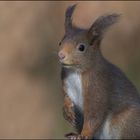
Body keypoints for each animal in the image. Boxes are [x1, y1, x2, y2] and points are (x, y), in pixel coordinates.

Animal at [57, 3, 140, 139]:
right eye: (60, 42)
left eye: (81, 47)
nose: (61, 55)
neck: (75, 71)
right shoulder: (66, 83)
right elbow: (66, 97)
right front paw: (67, 110)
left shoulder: (97, 88)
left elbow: (94, 116)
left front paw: (84, 135)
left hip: (126, 121)